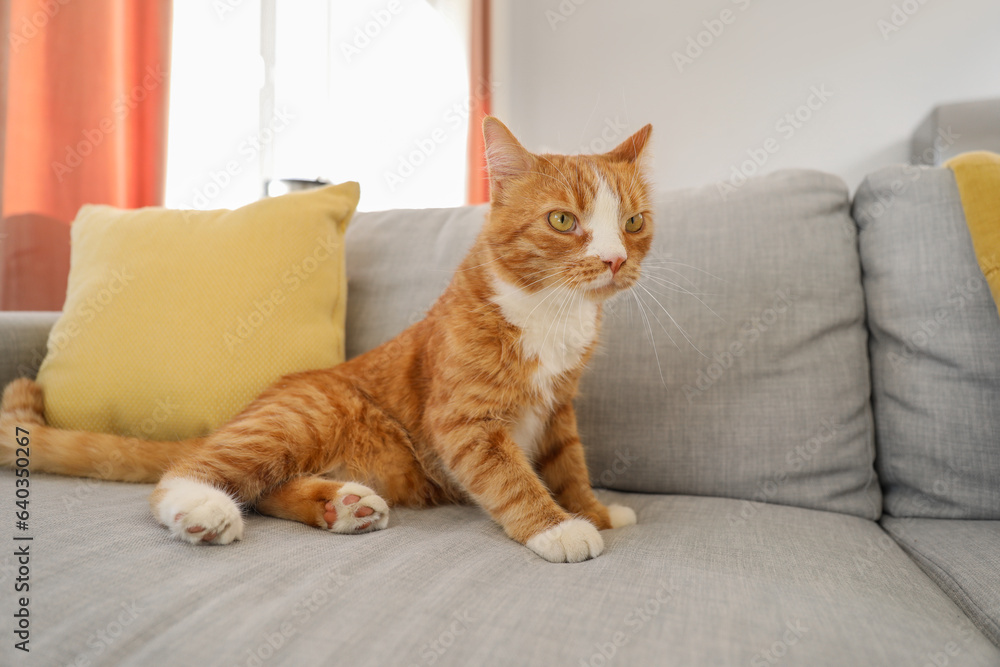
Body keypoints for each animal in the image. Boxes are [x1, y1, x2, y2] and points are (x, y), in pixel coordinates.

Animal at [0, 120, 652, 564]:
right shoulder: (464, 420)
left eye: (633, 223)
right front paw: (559, 527)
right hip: (304, 417)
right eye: (564, 221)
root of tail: (237, 416)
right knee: (194, 471)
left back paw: (341, 505)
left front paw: (594, 509)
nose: (614, 259)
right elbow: (511, 475)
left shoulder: (558, 409)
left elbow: (567, 464)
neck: (551, 315)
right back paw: (203, 508)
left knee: (264, 488)